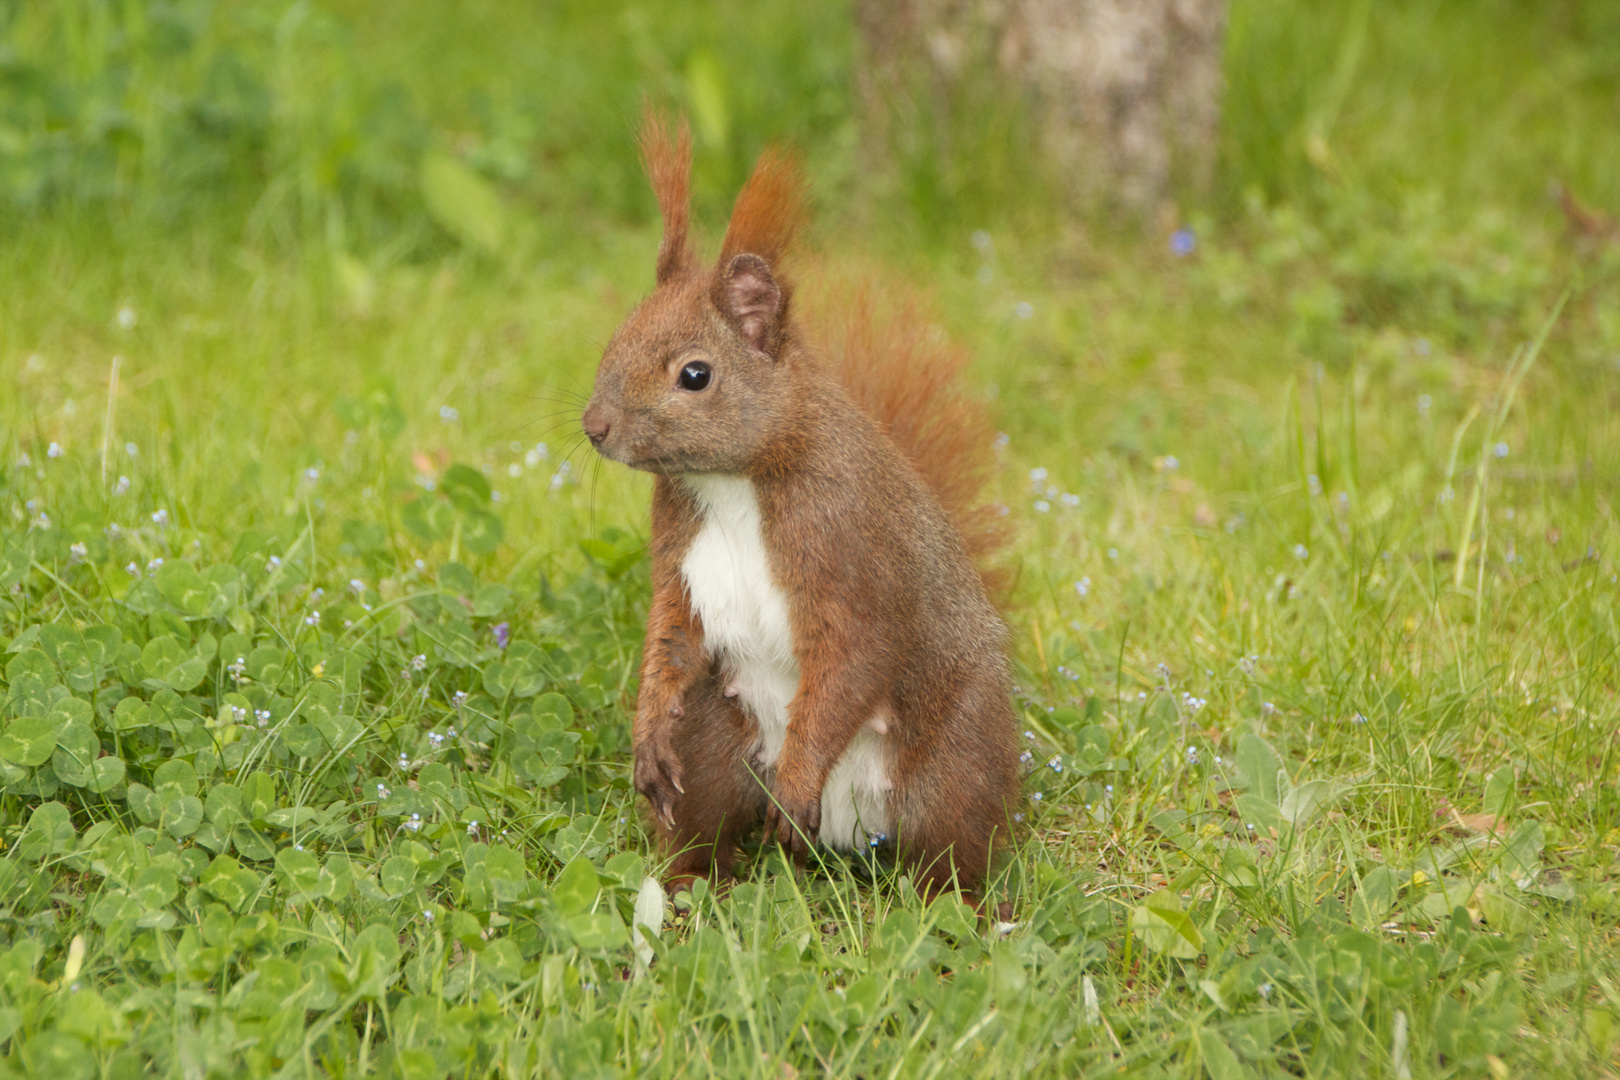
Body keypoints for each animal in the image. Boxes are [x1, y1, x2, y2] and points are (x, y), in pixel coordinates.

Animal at [576, 114, 1017, 900]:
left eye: (695, 374)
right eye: (617, 338)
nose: (594, 427)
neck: (733, 481)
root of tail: (846, 833)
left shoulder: (847, 543)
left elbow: (853, 658)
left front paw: (801, 774)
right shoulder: (679, 558)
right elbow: (670, 635)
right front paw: (645, 731)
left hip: (955, 761)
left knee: (953, 846)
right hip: (713, 742)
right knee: (704, 818)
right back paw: (690, 882)